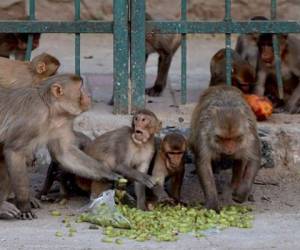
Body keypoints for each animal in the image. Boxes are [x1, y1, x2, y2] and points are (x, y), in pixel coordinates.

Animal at [0, 73, 129, 220]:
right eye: (80, 88)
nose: (88, 95)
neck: (50, 110)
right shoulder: (34, 117)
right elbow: (14, 152)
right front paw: (24, 205)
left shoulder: (61, 123)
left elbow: (64, 153)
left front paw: (110, 174)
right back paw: (3, 207)